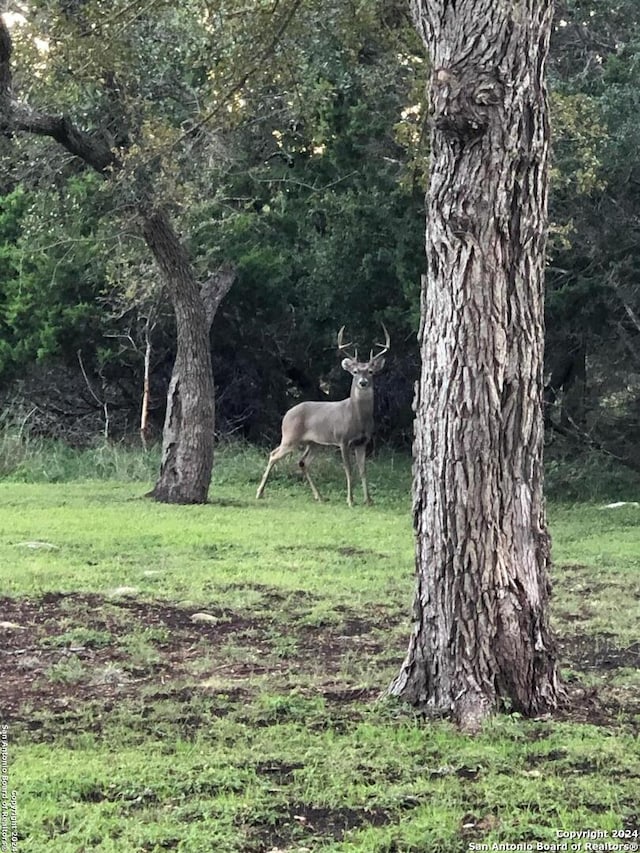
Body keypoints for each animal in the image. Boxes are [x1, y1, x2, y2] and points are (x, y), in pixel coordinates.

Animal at [256, 322, 390, 502]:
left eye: (371, 372)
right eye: (355, 372)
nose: (363, 383)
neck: (357, 417)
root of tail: (287, 415)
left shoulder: (362, 442)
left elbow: (363, 471)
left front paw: (368, 500)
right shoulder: (342, 439)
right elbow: (348, 470)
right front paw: (350, 500)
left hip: (314, 443)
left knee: (302, 462)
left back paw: (319, 496)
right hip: (290, 437)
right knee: (273, 455)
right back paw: (259, 492)